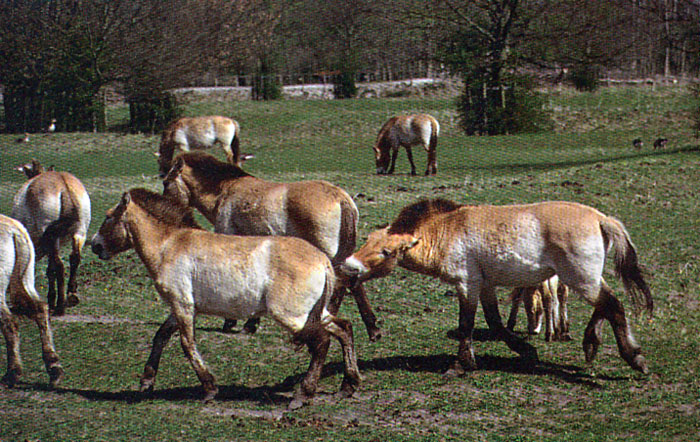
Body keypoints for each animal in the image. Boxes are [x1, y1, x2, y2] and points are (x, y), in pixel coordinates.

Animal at [0, 212, 64, 388]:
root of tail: (14, 230)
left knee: (9, 323)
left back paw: (12, 374)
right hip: (23, 280)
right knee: (40, 309)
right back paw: (54, 368)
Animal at [11, 159, 90, 314]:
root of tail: (63, 185)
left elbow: (50, 269)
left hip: (51, 238)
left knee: (59, 265)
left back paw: (59, 305)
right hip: (79, 233)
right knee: (74, 258)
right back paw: (71, 296)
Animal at [91, 188, 360, 410]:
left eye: (108, 216)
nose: (95, 246)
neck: (168, 245)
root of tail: (323, 261)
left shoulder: (182, 306)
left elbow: (187, 345)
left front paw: (210, 388)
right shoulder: (179, 308)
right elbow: (160, 337)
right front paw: (146, 382)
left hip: (292, 316)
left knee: (322, 342)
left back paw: (303, 394)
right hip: (314, 313)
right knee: (343, 329)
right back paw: (349, 385)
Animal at [163, 152, 382, 342]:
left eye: (166, 182)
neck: (225, 190)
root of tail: (340, 198)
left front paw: (235, 322)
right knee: (354, 283)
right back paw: (372, 329)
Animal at [342, 199, 652, 374]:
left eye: (386, 252)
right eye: (368, 240)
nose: (349, 267)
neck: (446, 231)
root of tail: (600, 218)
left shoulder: (466, 285)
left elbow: (467, 324)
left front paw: (461, 364)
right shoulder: (485, 286)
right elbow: (495, 322)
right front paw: (525, 350)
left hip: (581, 279)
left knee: (612, 306)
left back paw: (634, 358)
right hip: (587, 279)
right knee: (606, 306)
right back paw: (591, 343)